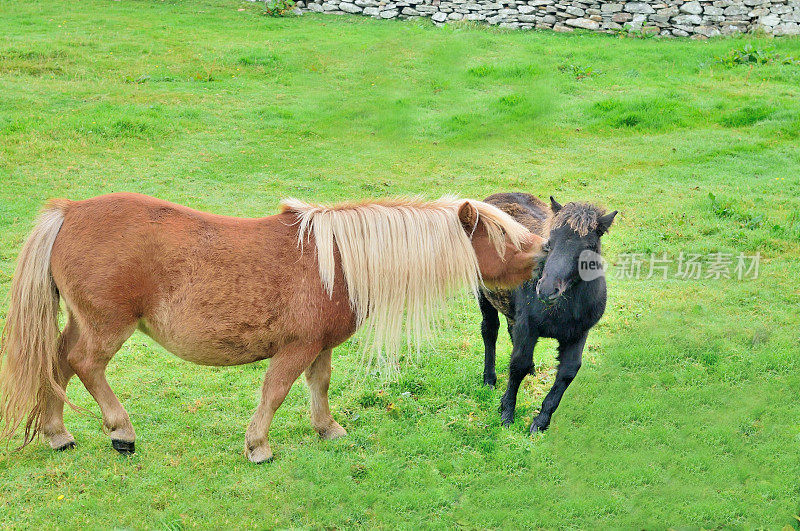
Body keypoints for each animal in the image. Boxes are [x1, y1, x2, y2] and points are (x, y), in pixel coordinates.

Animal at [0, 193, 544, 464]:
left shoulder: (319, 347)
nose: (542, 256)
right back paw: (121, 432)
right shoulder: (295, 348)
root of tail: (67, 213)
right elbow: (276, 392)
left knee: (56, 364)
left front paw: (328, 429)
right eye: (502, 234)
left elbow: (319, 385)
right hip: (107, 326)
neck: (338, 262)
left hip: (83, 322)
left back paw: (57, 435)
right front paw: (258, 445)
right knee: (84, 364)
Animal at [476, 193, 620, 434]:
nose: (546, 289)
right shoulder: (528, 327)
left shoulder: (578, 333)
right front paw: (506, 412)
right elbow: (518, 364)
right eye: (549, 243)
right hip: (483, 293)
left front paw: (541, 422)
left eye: (590, 247)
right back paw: (489, 379)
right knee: (490, 330)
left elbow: (568, 372)